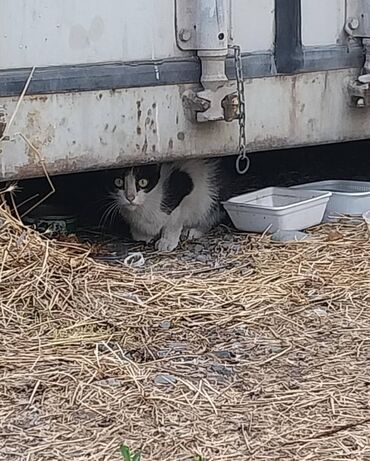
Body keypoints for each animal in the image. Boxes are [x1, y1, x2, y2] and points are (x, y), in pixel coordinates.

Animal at [110, 158, 247, 252]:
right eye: (118, 182)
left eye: (143, 182)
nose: (130, 197)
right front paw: (144, 235)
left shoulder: (184, 185)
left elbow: (174, 219)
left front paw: (166, 241)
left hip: (211, 195)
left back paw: (193, 230)